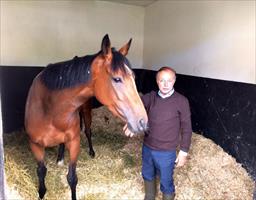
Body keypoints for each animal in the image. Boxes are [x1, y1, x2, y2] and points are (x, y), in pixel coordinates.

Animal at [25, 34, 148, 200]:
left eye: (134, 77)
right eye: (117, 79)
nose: (142, 122)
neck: (50, 109)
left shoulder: (74, 142)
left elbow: (72, 178)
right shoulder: (35, 145)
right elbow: (41, 171)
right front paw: (42, 192)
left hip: (86, 111)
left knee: (88, 131)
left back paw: (90, 152)